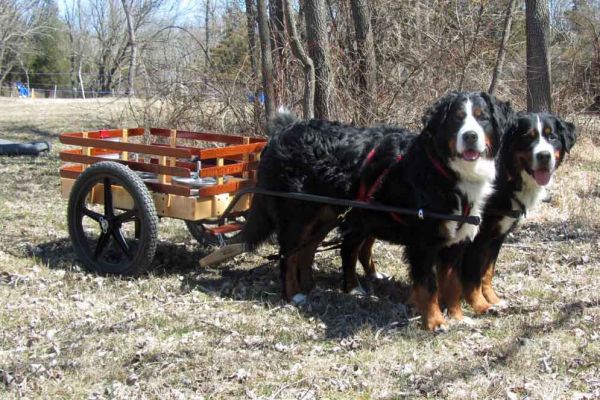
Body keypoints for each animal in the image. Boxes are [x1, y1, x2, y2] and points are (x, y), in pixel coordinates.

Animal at [241, 91, 512, 332]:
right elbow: (429, 286)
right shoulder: (423, 244)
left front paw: (457, 317)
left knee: (306, 252)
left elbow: (452, 284)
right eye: (457, 118)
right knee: (288, 257)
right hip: (296, 217)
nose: (470, 136)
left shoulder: (455, 241)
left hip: (324, 217)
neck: (442, 169)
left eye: (482, 118)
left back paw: (308, 287)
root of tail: (283, 130)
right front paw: (435, 323)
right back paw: (293, 295)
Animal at [454, 112, 580, 316]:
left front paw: (493, 299)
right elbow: (473, 276)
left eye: (552, 137)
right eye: (528, 137)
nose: (544, 155)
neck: (507, 176)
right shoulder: (478, 236)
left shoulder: (498, 236)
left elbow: (487, 272)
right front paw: (480, 305)